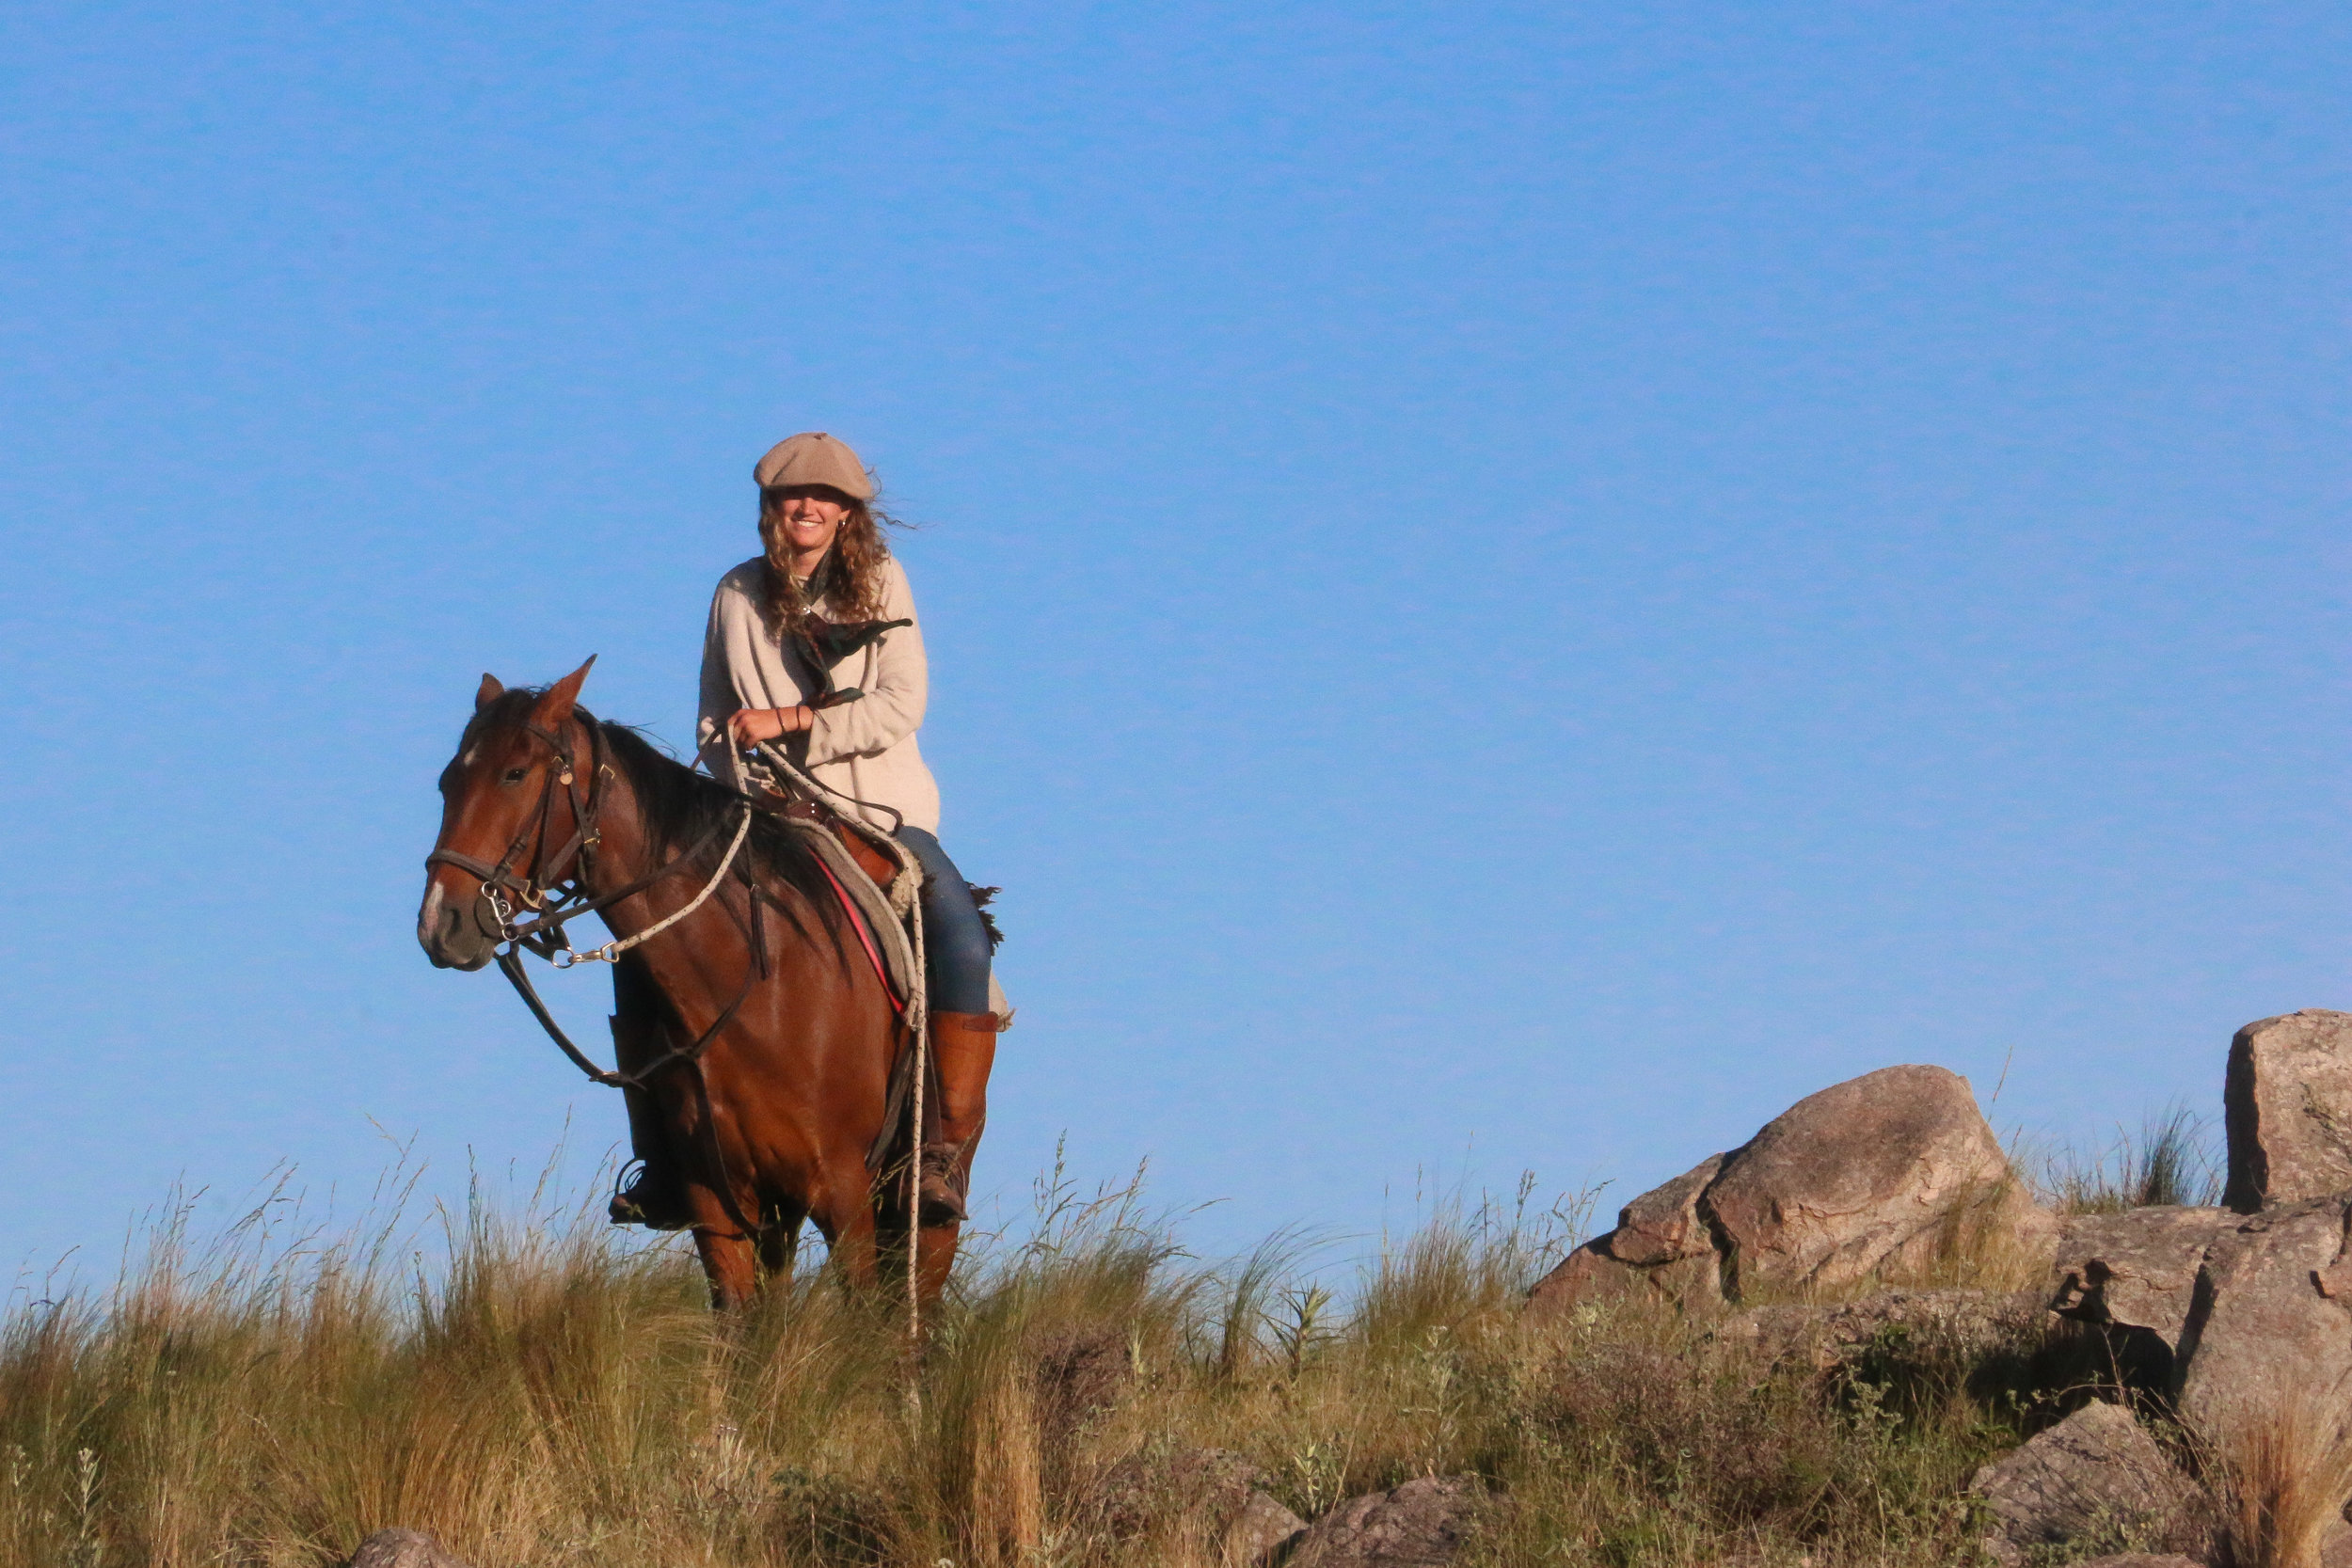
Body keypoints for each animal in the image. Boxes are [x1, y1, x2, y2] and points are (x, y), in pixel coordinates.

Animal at [414, 657, 955, 1307]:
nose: (440, 924)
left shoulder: (845, 1193)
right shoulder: (718, 1206)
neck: (762, 991)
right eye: (448, 783)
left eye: (515, 773)